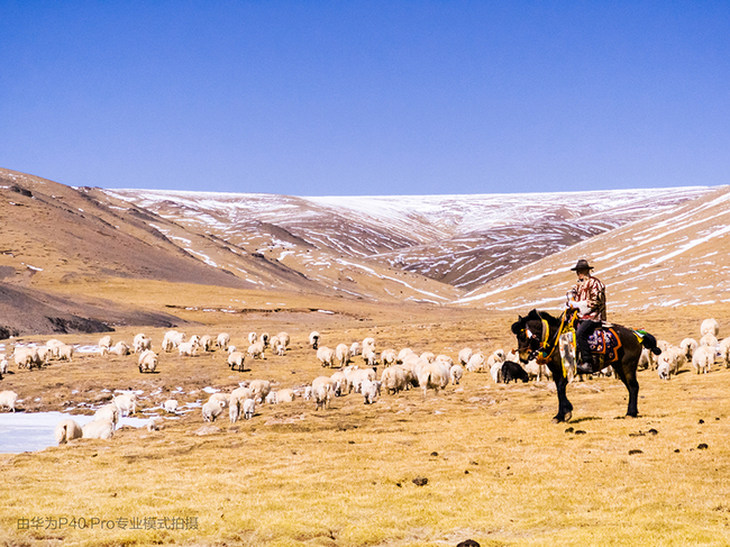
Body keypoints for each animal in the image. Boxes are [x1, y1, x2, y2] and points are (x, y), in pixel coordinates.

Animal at [512, 310, 660, 422]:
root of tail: (635, 335)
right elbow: (559, 391)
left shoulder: (566, 369)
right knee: (630, 387)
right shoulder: (557, 372)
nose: (523, 357)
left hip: (627, 366)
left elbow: (560, 389)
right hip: (619, 367)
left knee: (634, 386)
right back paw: (631, 412)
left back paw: (631, 413)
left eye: (523, 336)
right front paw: (562, 414)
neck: (556, 339)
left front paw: (564, 414)